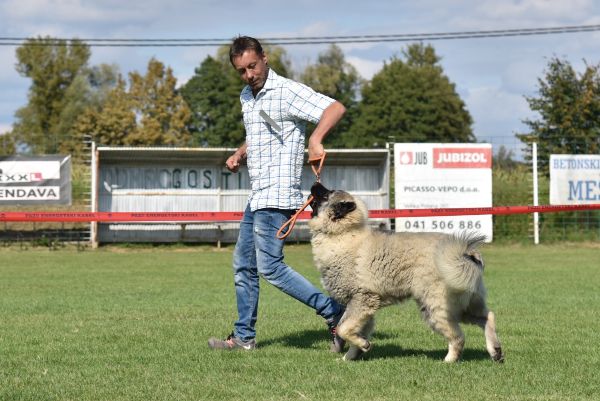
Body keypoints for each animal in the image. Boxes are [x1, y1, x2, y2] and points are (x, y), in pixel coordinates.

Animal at [308, 182, 504, 363]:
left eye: (326, 194)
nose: (315, 183)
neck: (343, 233)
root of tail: (464, 254)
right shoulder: (364, 308)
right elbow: (356, 330)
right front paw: (352, 355)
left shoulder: (361, 300)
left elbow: (343, 328)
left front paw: (361, 345)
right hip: (465, 304)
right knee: (487, 317)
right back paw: (495, 351)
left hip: (436, 308)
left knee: (459, 337)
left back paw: (449, 360)